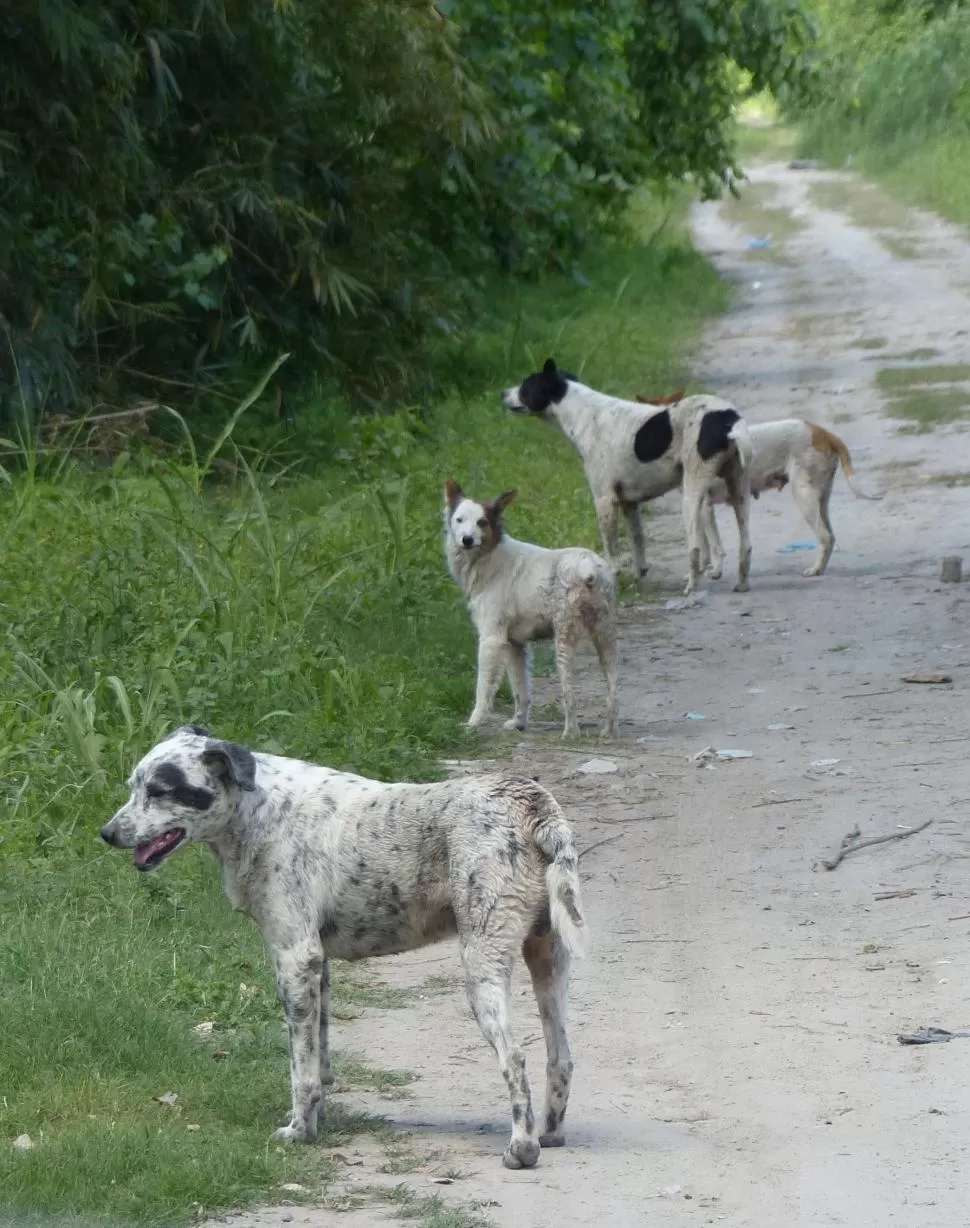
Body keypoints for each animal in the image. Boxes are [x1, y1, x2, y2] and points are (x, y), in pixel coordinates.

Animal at [444, 478, 618, 736]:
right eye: (459, 520)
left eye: (482, 522)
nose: (467, 539)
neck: (489, 557)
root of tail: (588, 565)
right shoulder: (515, 645)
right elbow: (521, 689)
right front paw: (519, 723)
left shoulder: (491, 639)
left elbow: (483, 689)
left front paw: (473, 723)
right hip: (605, 636)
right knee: (614, 687)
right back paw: (608, 731)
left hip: (564, 639)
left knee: (570, 695)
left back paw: (570, 733)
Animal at [505, 358, 756, 594]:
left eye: (525, 386)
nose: (502, 393)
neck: (581, 413)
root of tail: (727, 419)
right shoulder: (629, 503)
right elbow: (638, 541)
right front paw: (638, 577)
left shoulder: (605, 501)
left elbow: (611, 552)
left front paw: (612, 579)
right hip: (739, 492)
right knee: (746, 545)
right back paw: (742, 583)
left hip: (692, 496)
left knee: (695, 547)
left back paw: (692, 587)